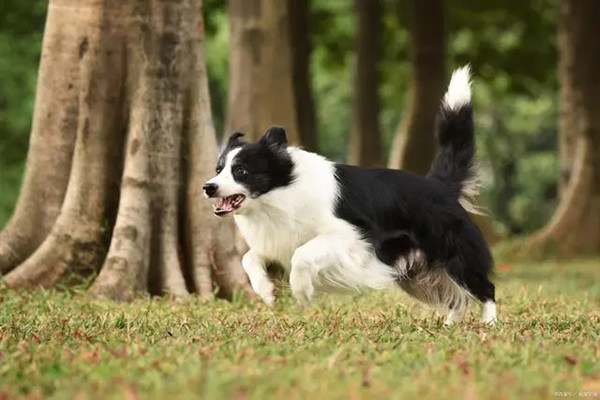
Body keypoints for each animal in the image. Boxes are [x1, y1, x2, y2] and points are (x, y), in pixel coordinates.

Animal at [204, 66, 494, 324]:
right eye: (218, 169)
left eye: (241, 171)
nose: (208, 187)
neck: (279, 193)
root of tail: (440, 186)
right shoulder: (279, 238)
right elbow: (249, 257)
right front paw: (265, 291)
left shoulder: (350, 236)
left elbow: (302, 255)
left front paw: (301, 292)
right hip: (416, 275)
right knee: (458, 298)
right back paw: (450, 327)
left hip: (454, 254)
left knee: (484, 288)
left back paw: (489, 325)